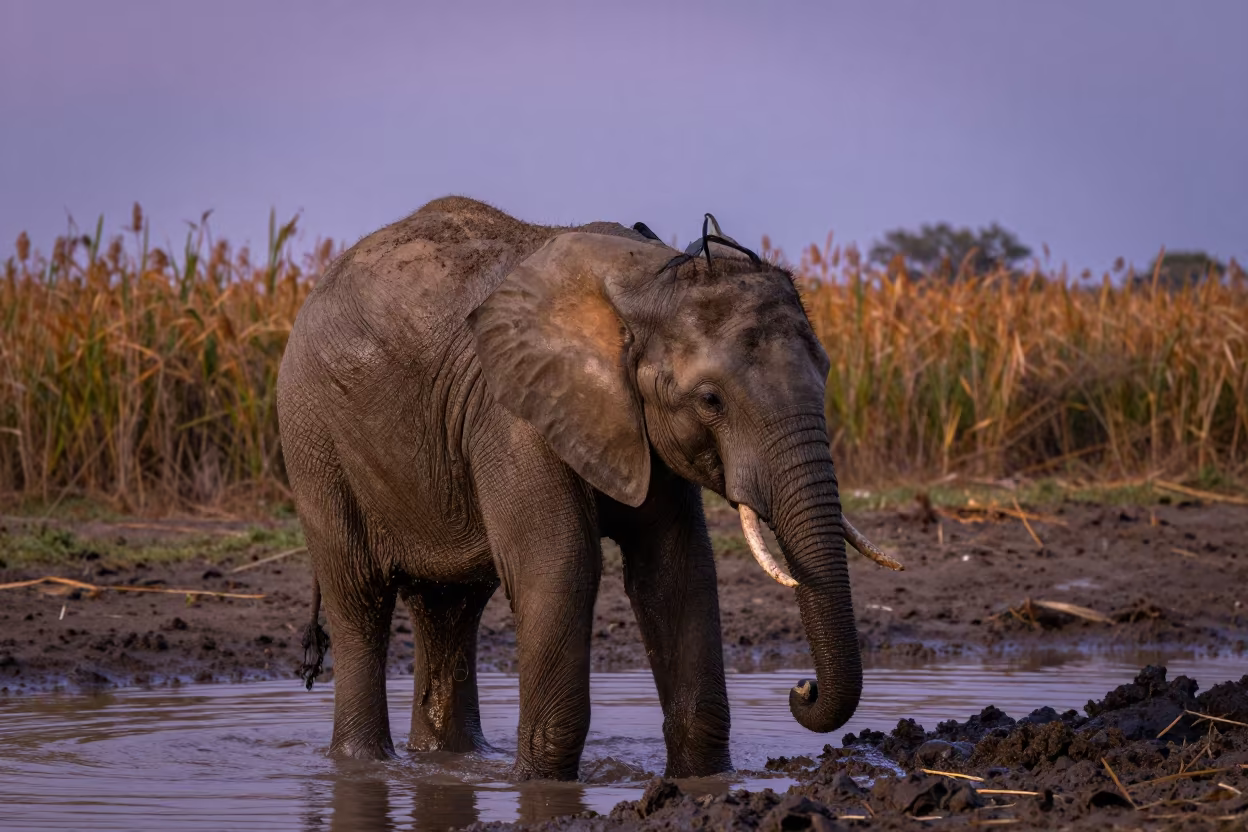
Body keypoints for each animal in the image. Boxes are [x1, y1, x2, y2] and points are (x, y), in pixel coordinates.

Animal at [275, 196, 900, 781]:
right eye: (710, 399)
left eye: (826, 372)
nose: (801, 689)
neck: (646, 280)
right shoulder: (513, 414)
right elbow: (560, 564)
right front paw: (538, 788)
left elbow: (676, 568)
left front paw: (702, 782)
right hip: (313, 439)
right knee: (360, 601)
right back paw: (361, 763)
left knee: (449, 609)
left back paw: (450, 762)